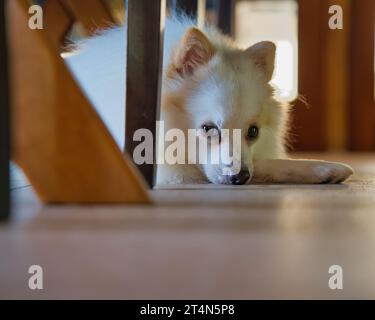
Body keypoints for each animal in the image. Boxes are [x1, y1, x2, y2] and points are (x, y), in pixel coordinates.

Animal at [66, 15, 354, 185]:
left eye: (253, 132)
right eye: (208, 129)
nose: (240, 177)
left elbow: (261, 162)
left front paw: (322, 169)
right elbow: (261, 163)